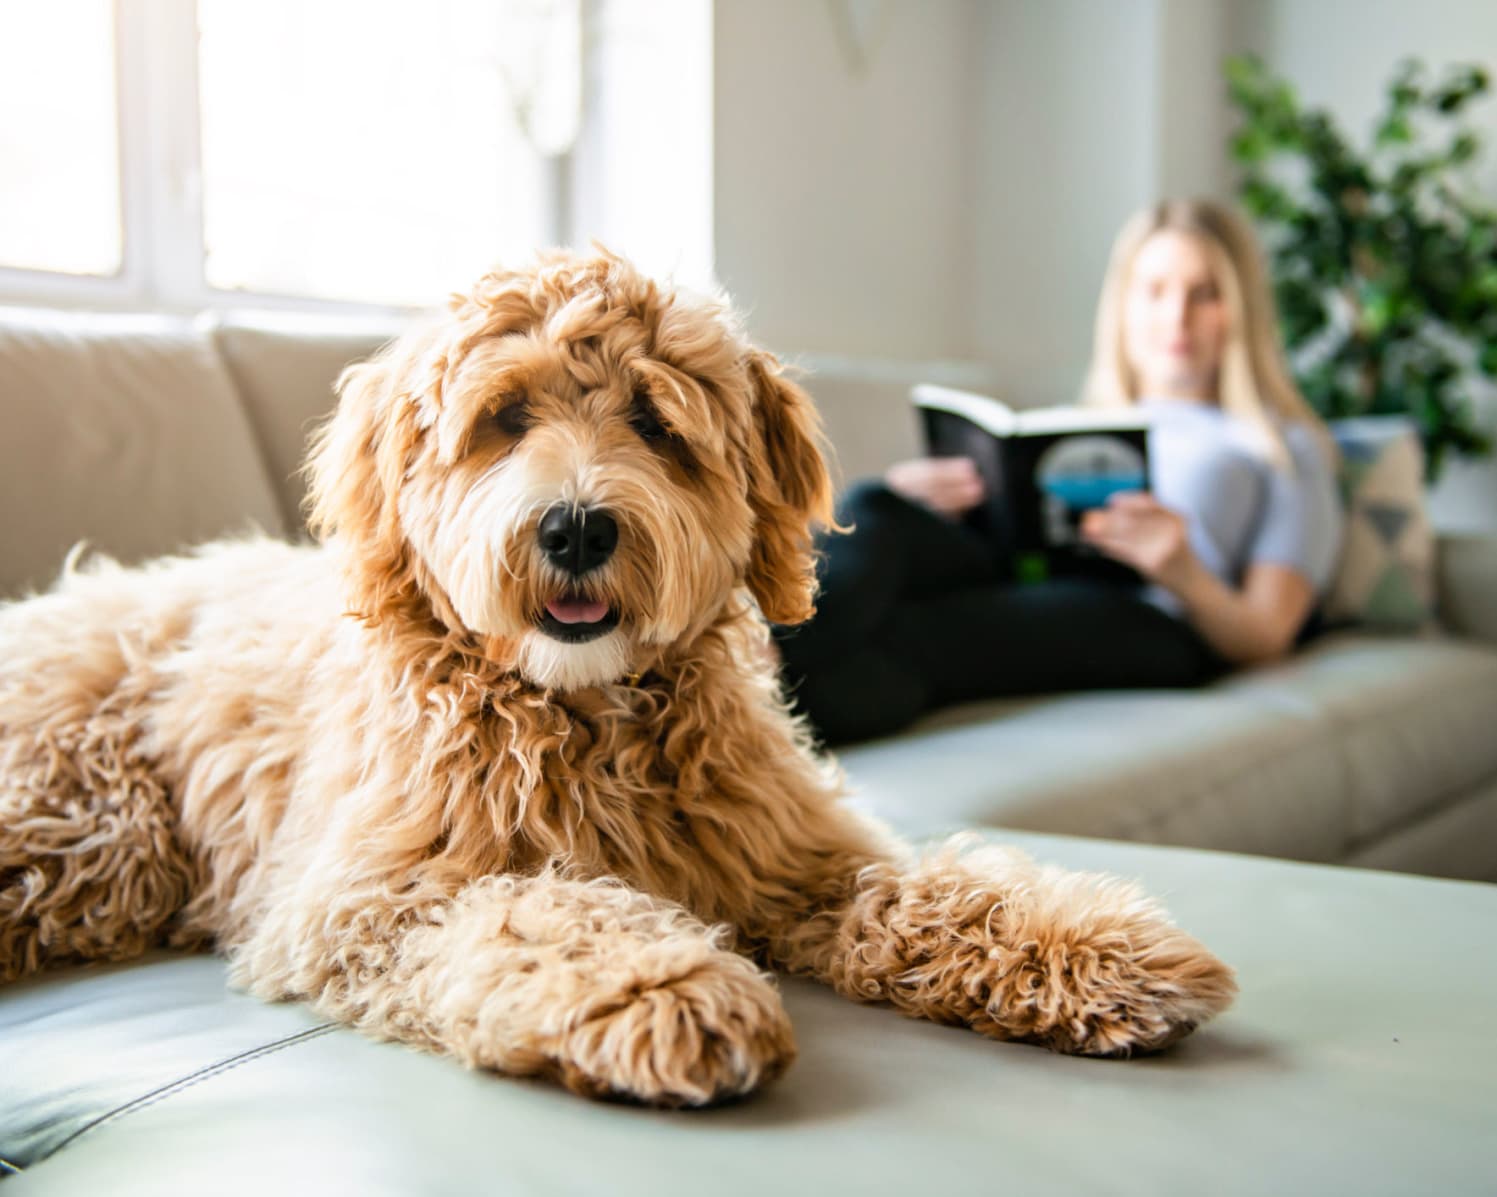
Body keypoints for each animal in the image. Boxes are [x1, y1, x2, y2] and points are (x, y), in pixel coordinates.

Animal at [0, 249, 1233, 1101]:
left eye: (654, 420)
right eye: (503, 418)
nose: (578, 527)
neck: (584, 710)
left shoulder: (796, 854)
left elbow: (931, 886)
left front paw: (1097, 948)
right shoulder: (368, 898)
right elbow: (534, 911)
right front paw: (665, 988)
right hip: (87, 829)